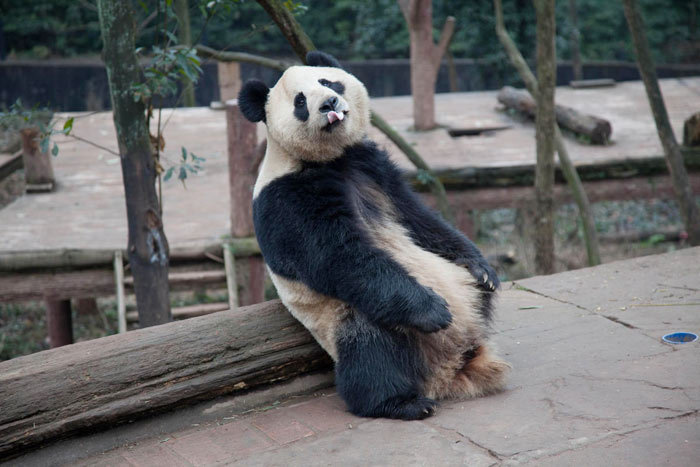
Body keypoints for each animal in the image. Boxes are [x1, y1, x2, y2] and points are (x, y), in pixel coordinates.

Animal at [238, 51, 509, 420]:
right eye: (300, 102)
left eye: (329, 82)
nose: (329, 103)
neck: (331, 159)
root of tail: (445, 368)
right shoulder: (287, 197)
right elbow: (339, 255)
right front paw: (433, 310)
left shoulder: (371, 166)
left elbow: (418, 218)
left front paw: (482, 269)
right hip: (350, 317)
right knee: (371, 350)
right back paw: (401, 402)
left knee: (477, 300)